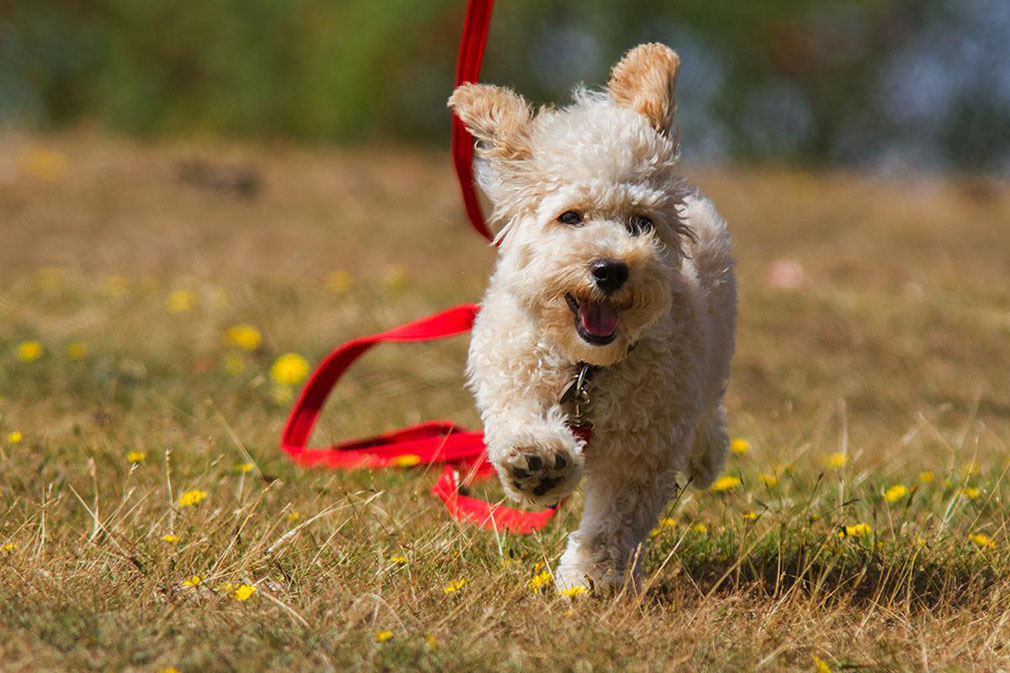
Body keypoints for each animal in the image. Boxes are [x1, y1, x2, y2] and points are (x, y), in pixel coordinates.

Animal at [448, 41, 735, 590]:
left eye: (640, 223)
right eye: (570, 217)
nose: (610, 269)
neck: (585, 368)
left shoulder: (643, 450)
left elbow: (614, 521)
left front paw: (589, 578)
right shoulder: (511, 373)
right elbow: (517, 423)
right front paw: (537, 464)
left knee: (708, 414)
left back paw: (706, 457)